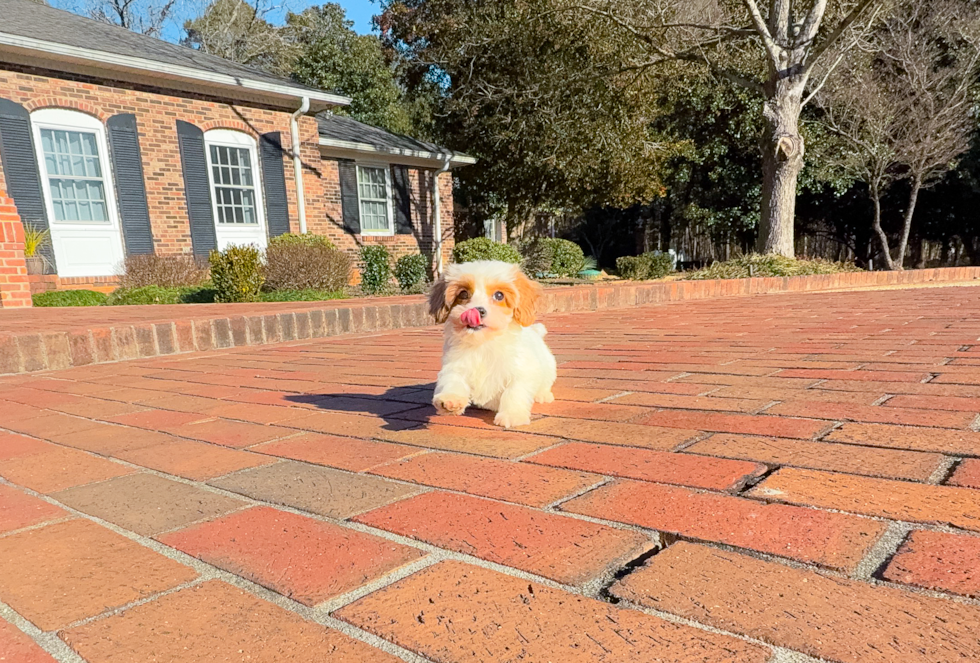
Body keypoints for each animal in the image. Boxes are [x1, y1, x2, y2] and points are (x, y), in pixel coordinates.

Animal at [426, 256, 556, 428]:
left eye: (499, 295)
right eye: (463, 293)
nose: (477, 310)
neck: (484, 342)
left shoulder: (522, 370)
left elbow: (514, 392)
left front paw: (512, 415)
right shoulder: (455, 364)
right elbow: (452, 380)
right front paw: (450, 400)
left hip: (548, 368)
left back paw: (543, 395)